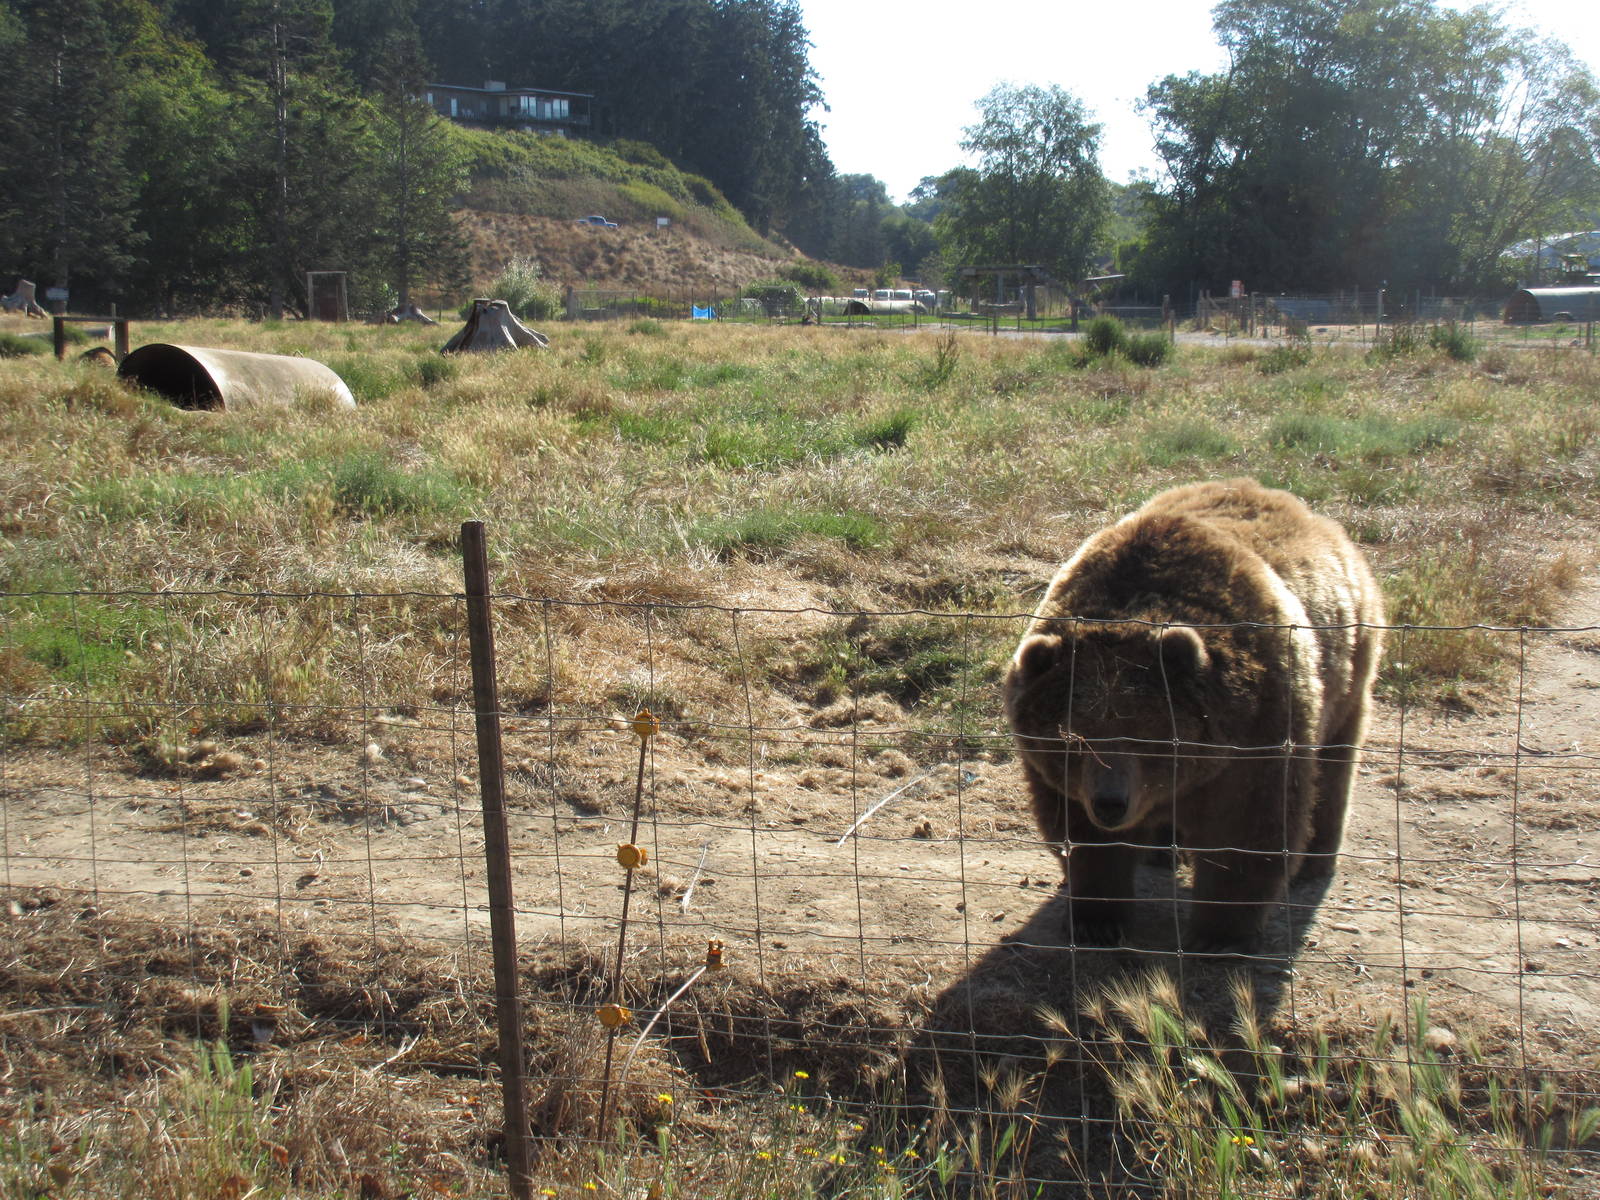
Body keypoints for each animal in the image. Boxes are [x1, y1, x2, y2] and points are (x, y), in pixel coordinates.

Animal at [1001, 478, 1384, 953]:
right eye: (1073, 738)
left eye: (1148, 735)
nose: (1110, 803)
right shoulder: (1061, 773)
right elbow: (1083, 837)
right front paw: (1098, 919)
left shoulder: (1254, 733)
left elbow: (1248, 831)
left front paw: (1221, 934)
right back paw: (1162, 850)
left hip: (1348, 665)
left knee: (1333, 765)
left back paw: (1315, 859)